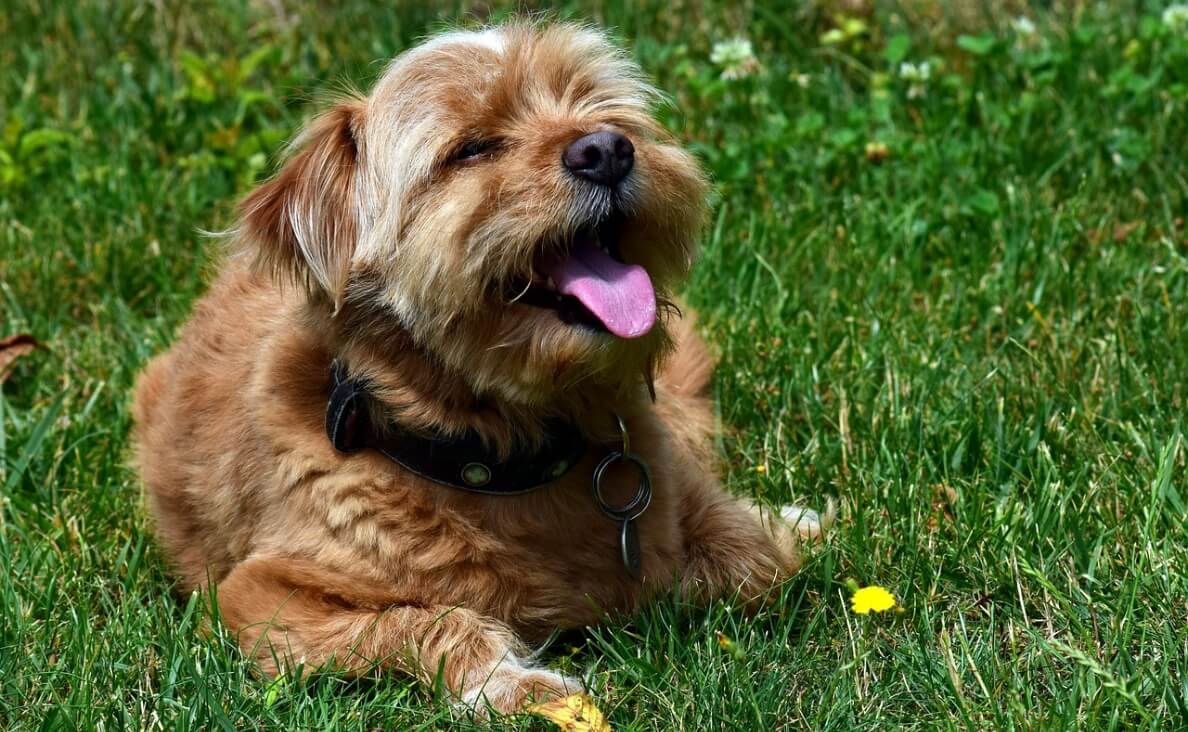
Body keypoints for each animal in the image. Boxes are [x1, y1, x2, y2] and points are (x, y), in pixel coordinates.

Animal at [132, 22, 826, 712]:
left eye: (598, 107)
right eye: (473, 149)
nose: (606, 149)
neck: (503, 457)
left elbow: (757, 558)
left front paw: (774, 532)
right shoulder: (260, 599)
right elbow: (429, 620)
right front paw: (519, 684)